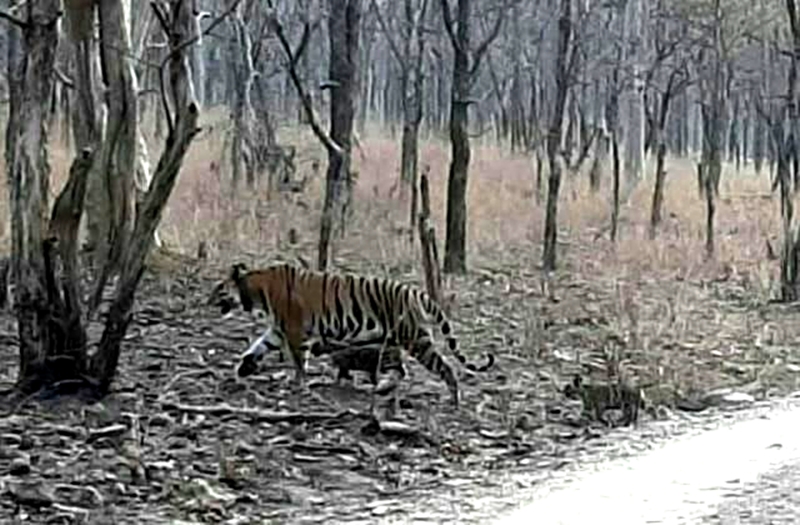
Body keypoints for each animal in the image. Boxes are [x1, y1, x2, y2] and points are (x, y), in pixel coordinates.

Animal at [207, 262, 495, 408]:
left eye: (218, 289)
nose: (206, 301)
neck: (256, 291)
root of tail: (418, 292)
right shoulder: (279, 329)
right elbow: (258, 346)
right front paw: (244, 367)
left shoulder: (295, 331)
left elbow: (298, 361)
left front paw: (299, 385)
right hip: (397, 341)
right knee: (400, 370)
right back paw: (384, 387)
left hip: (416, 339)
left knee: (445, 367)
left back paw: (454, 399)